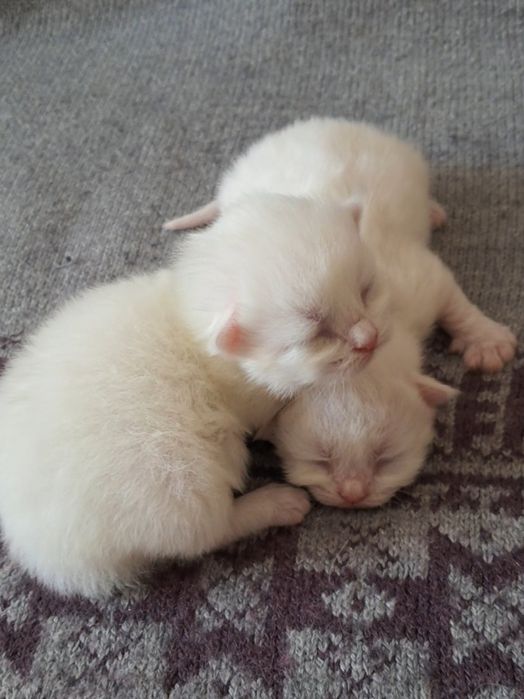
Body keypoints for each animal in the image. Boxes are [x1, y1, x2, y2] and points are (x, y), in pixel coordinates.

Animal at [0, 192, 386, 597]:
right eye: (316, 334)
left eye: (366, 289)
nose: (369, 339)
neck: (191, 326)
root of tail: (52, 559)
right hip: (180, 483)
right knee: (208, 533)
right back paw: (277, 503)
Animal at [165, 118, 517, 507]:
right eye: (320, 460)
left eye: (386, 458)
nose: (353, 494)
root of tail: (309, 124)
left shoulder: (420, 277)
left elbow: (454, 301)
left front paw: (487, 342)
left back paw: (434, 211)